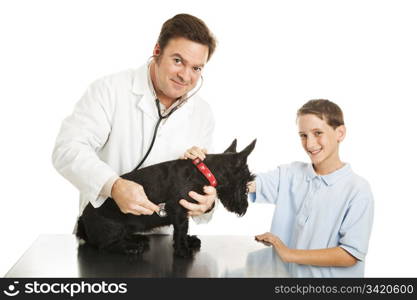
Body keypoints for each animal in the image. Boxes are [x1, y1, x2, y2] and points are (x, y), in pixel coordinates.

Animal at [76, 139, 255, 256]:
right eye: (246, 183)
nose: (245, 207)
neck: (205, 172)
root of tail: (82, 220)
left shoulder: (184, 212)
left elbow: (182, 229)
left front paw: (187, 242)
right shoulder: (179, 211)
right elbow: (181, 229)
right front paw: (183, 250)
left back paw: (137, 239)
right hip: (113, 228)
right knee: (105, 245)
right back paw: (130, 247)